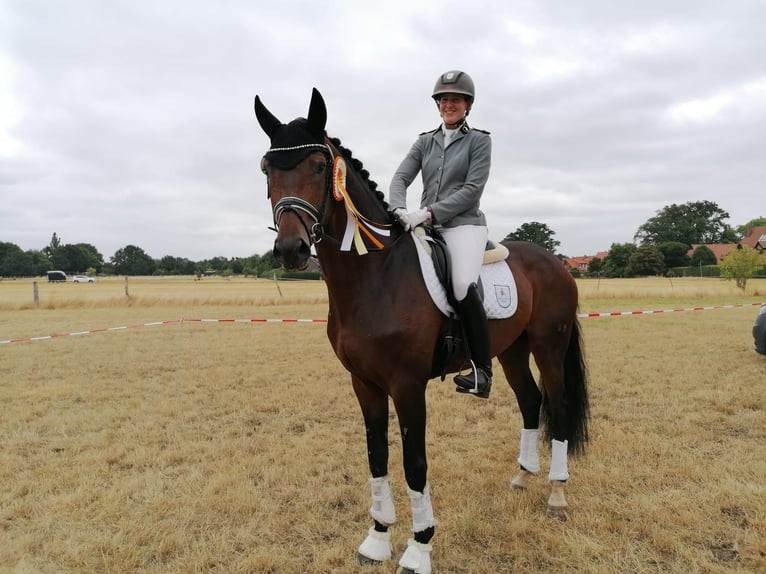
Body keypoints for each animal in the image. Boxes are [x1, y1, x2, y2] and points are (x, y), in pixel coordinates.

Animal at [255, 90, 592, 574]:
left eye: (319, 167)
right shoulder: (364, 383)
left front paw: (418, 548)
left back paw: (557, 495)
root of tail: (557, 263)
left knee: (558, 408)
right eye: (267, 169)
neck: (374, 277)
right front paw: (377, 539)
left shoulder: (408, 385)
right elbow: (377, 456)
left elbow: (415, 463)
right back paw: (521, 478)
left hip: (549, 345)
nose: (291, 249)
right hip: (512, 349)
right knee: (531, 402)